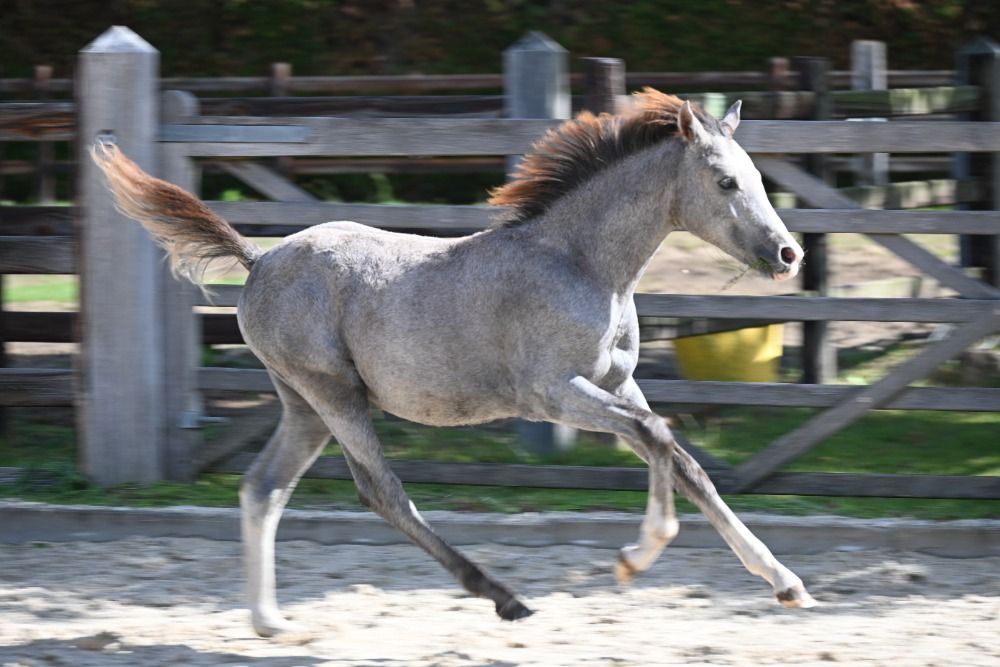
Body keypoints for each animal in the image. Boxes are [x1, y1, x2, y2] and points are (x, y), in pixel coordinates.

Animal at [92, 88, 815, 638]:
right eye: (726, 180)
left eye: (758, 177)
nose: (788, 253)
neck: (582, 265)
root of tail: (259, 257)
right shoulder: (555, 392)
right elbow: (660, 436)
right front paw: (638, 555)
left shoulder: (619, 384)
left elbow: (685, 461)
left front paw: (786, 582)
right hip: (334, 396)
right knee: (381, 492)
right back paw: (505, 598)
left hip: (304, 405)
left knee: (264, 486)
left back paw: (270, 621)